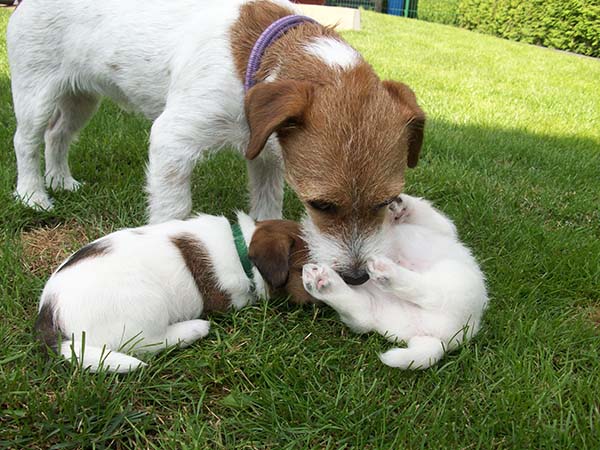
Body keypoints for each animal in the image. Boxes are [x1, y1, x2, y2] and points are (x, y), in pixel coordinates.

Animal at [8, 0, 425, 286]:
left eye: (387, 202)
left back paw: (61, 179)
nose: (357, 277)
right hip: (36, 93)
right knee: (26, 140)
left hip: (81, 97)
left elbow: (267, 203)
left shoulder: (266, 154)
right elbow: (174, 208)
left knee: (58, 135)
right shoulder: (172, 140)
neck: (256, 54)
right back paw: (33, 194)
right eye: (320, 205)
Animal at [35, 212, 314, 373]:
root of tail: (49, 313)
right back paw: (194, 329)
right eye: (306, 268)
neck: (240, 248)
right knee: (148, 344)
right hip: (147, 303)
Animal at [302, 194, 488, 369]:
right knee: (362, 313)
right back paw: (323, 282)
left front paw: (401, 203)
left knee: (430, 292)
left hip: (455, 277)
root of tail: (442, 341)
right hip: (382, 312)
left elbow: (425, 213)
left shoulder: (443, 228)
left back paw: (387, 272)